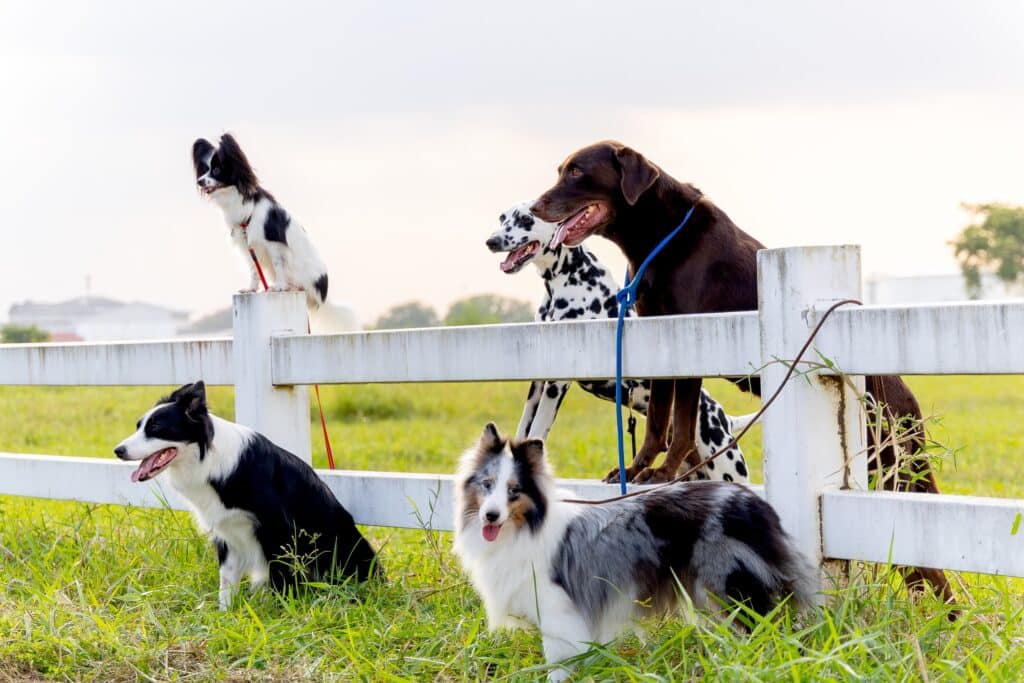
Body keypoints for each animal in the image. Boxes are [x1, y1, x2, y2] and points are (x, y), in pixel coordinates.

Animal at [115, 378, 380, 610]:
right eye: (138, 426)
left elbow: (279, 576)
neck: (209, 460)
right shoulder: (226, 532)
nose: (118, 450)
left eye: (156, 427)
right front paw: (225, 615)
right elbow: (227, 581)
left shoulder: (276, 529)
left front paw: (279, 611)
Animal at [193, 133, 358, 331]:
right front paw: (251, 289)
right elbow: (254, 271)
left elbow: (278, 265)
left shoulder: (273, 244)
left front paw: (279, 286)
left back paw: (290, 287)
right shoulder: (248, 245)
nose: (199, 181)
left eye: (217, 170)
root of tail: (323, 295)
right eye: (205, 170)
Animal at [452, 423, 819, 679]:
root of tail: (756, 504)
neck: (526, 526)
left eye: (514, 491)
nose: (490, 516)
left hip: (732, 583)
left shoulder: (558, 608)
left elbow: (558, 659)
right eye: (487, 485)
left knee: (768, 625)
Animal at [483, 200, 757, 483]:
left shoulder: (556, 384)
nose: (491, 241)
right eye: (502, 218)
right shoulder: (538, 383)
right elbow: (524, 428)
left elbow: (538, 430)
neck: (568, 277)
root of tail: (724, 419)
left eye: (526, 219)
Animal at [532, 140, 954, 610]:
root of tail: (909, 405)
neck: (657, 235)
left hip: (893, 465)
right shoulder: (659, 341)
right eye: (561, 170)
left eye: (576, 172)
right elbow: (657, 424)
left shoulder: (689, 342)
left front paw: (664, 473)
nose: (534, 206)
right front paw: (637, 470)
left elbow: (680, 427)